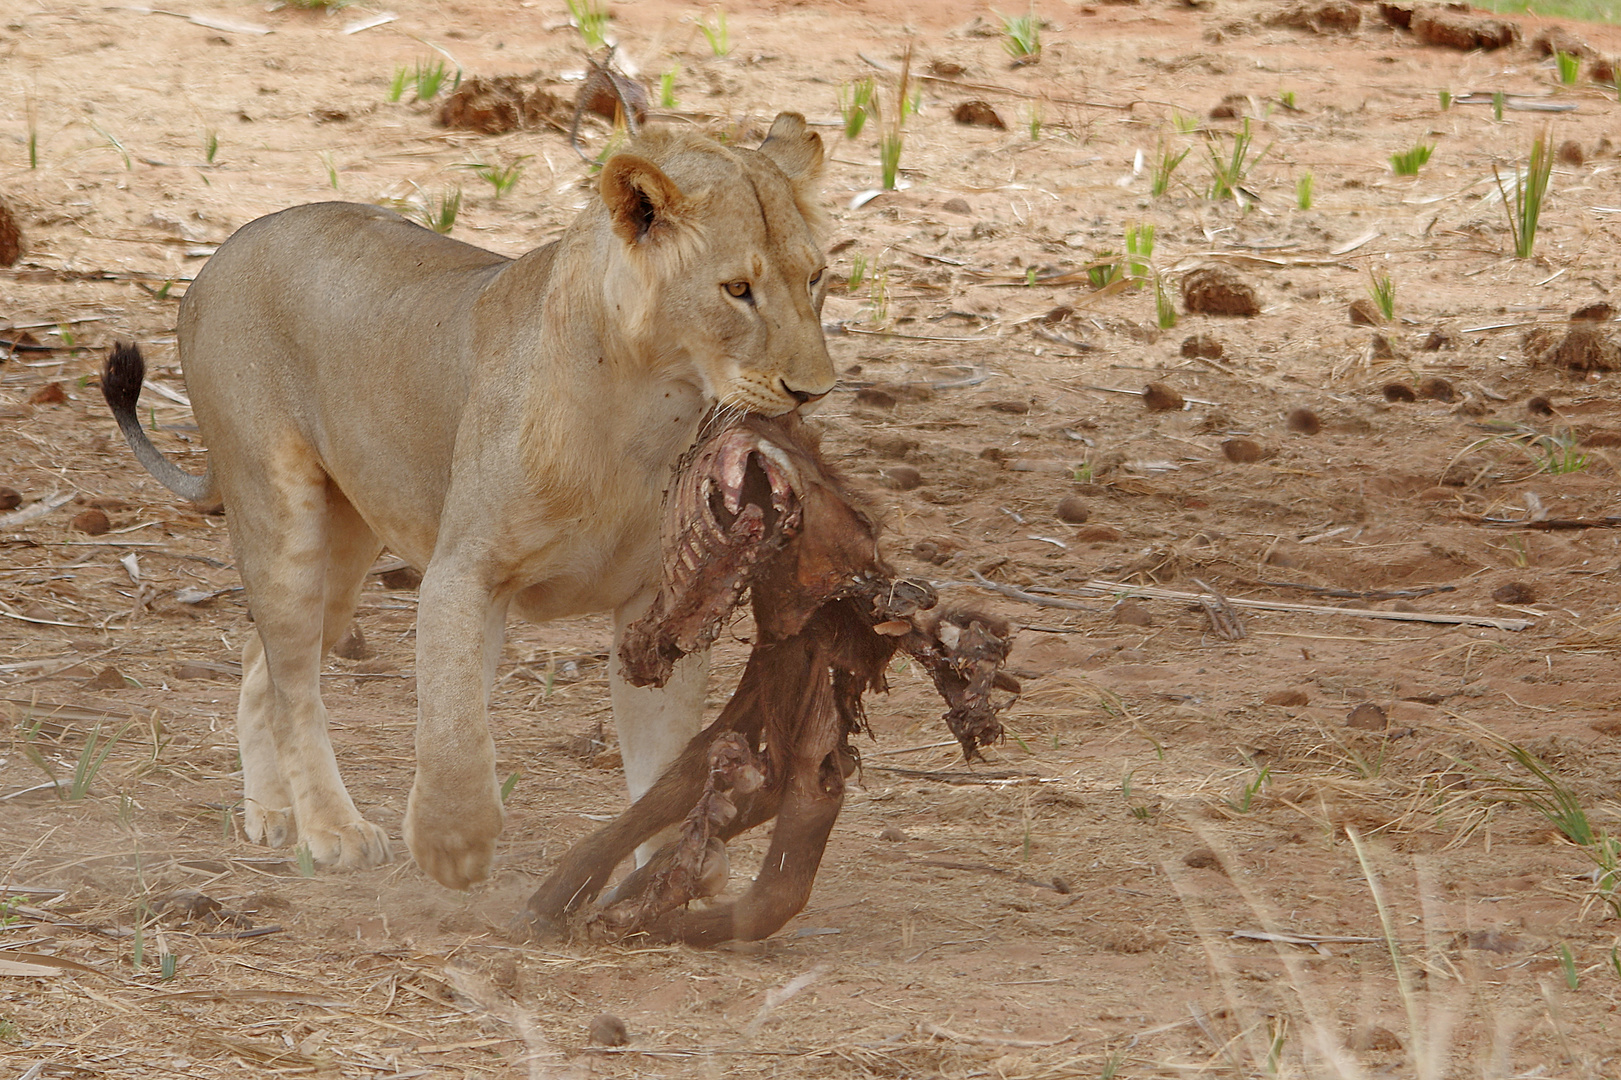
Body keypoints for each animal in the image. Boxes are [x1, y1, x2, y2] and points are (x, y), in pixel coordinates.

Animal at [101, 113, 836, 888]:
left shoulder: (657, 604)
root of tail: (220, 255)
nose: (813, 390)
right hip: (280, 517)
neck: (645, 414)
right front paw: (453, 845)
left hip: (347, 548)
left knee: (259, 663)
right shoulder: (463, 573)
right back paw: (332, 828)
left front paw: (666, 874)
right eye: (737, 289)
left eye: (815, 278)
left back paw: (272, 814)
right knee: (294, 681)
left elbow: (661, 761)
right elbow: (454, 726)